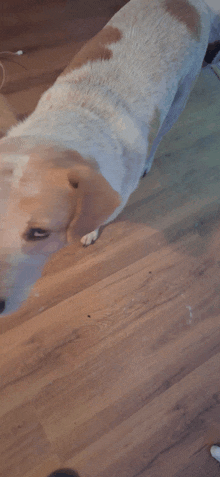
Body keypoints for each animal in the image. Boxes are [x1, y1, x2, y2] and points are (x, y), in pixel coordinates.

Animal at [0, 0, 219, 312]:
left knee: (160, 133)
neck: (70, 124)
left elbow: (98, 219)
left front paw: (89, 232)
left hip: (180, 98)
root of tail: (190, 4)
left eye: (39, 233)